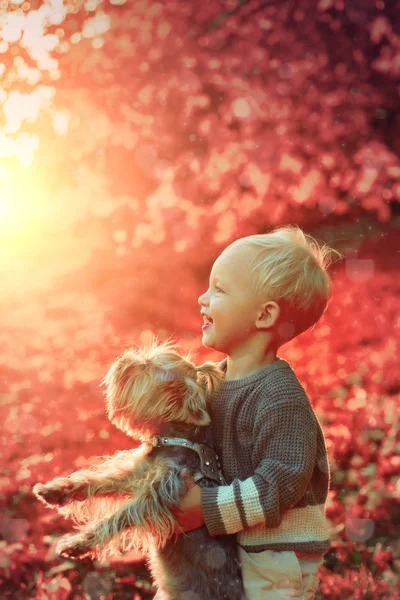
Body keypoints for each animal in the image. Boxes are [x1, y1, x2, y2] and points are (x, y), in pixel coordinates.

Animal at [34, 342, 245, 600]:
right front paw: (54, 490)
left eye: (145, 367)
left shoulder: (158, 493)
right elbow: (95, 482)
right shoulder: (134, 475)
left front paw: (76, 544)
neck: (174, 439)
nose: (122, 358)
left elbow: (120, 516)